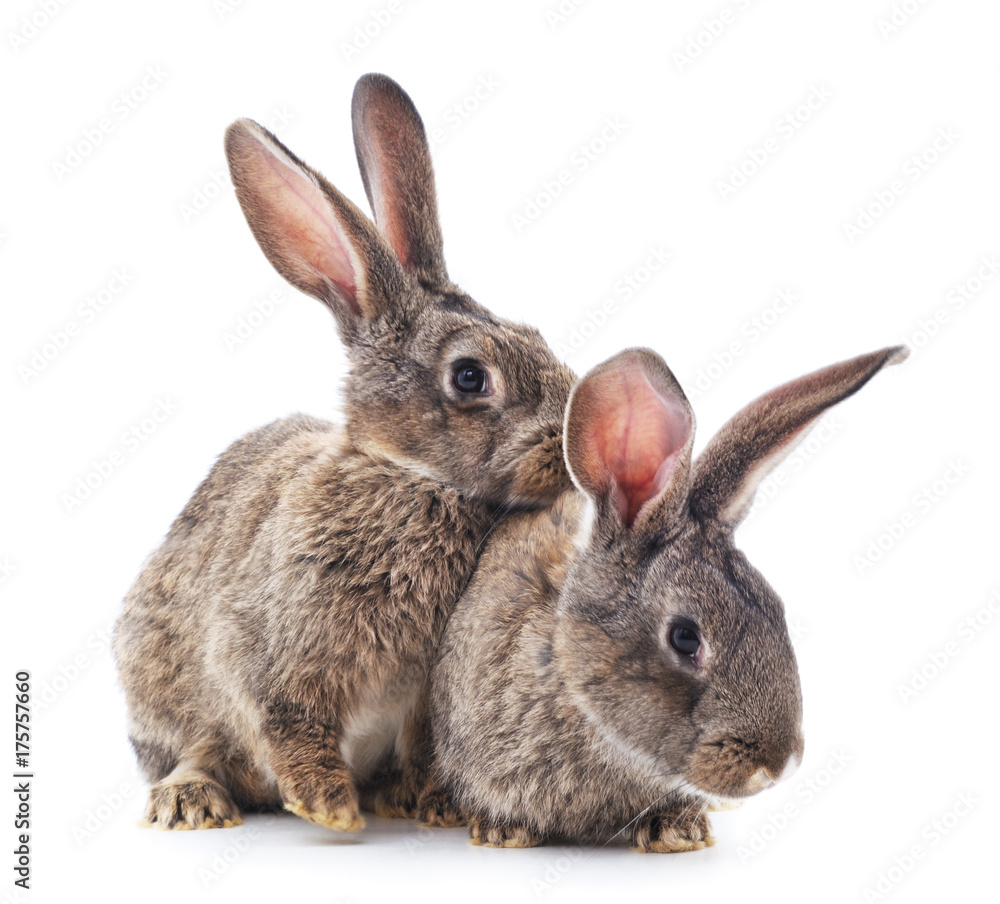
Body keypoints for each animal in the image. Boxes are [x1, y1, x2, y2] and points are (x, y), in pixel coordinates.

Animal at [113, 73, 575, 832]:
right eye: (469, 377)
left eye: (536, 336)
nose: (568, 446)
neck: (409, 475)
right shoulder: (278, 653)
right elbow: (289, 722)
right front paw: (331, 808)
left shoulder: (421, 695)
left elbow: (422, 743)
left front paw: (430, 803)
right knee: (198, 750)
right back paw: (191, 801)